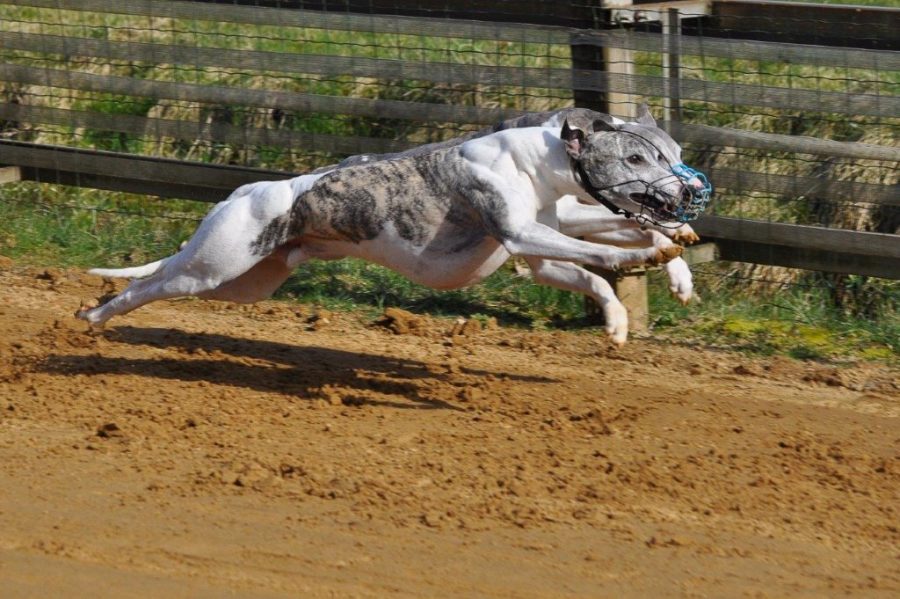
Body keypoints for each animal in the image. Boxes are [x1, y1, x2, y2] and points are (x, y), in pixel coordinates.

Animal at [77, 105, 712, 344]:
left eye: (673, 151)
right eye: (636, 158)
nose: (687, 191)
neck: (539, 158)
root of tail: (241, 192)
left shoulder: (543, 246)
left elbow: (601, 262)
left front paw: (644, 296)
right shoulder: (521, 232)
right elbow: (606, 256)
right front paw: (645, 260)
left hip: (246, 282)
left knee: (165, 284)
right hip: (215, 264)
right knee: (148, 284)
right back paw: (97, 315)